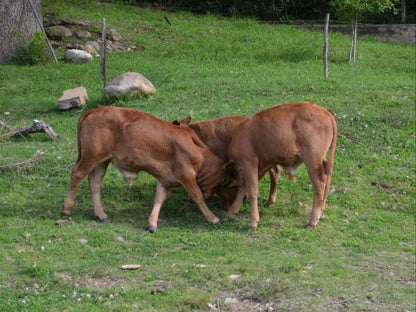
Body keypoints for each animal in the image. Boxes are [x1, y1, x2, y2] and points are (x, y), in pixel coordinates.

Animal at [61, 106, 224, 232]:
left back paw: (101, 214)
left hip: (102, 161)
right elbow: (197, 195)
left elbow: (159, 198)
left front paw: (152, 223)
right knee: (77, 174)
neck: (198, 150)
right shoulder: (185, 173)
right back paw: (66, 209)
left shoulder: (165, 178)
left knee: (94, 182)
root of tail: (94, 110)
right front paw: (212, 218)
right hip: (90, 157)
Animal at [226, 101, 336, 230]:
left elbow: (252, 191)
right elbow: (244, 187)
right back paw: (321, 207)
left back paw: (313, 220)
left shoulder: (248, 163)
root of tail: (325, 111)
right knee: (328, 175)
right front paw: (232, 213)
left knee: (319, 185)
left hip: (312, 160)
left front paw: (253, 222)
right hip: (321, 160)